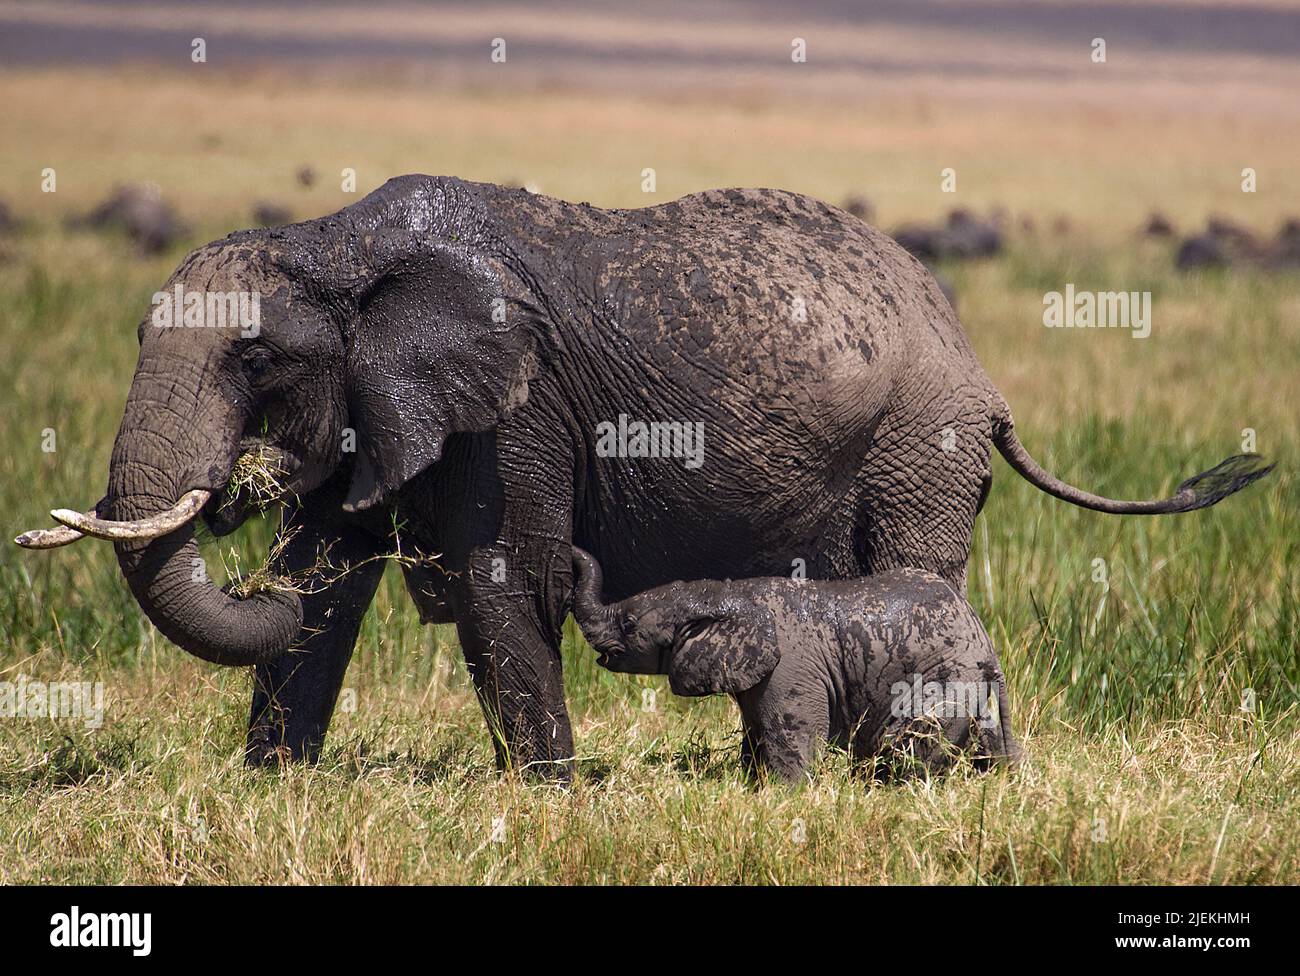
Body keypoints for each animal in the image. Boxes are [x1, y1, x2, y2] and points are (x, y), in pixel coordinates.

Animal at [574, 551, 1019, 784]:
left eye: (629, 623)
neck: (727, 592)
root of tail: (986, 644)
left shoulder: (791, 667)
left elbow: (793, 736)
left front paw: (785, 796)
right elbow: (756, 734)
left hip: (949, 680)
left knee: (903, 745)